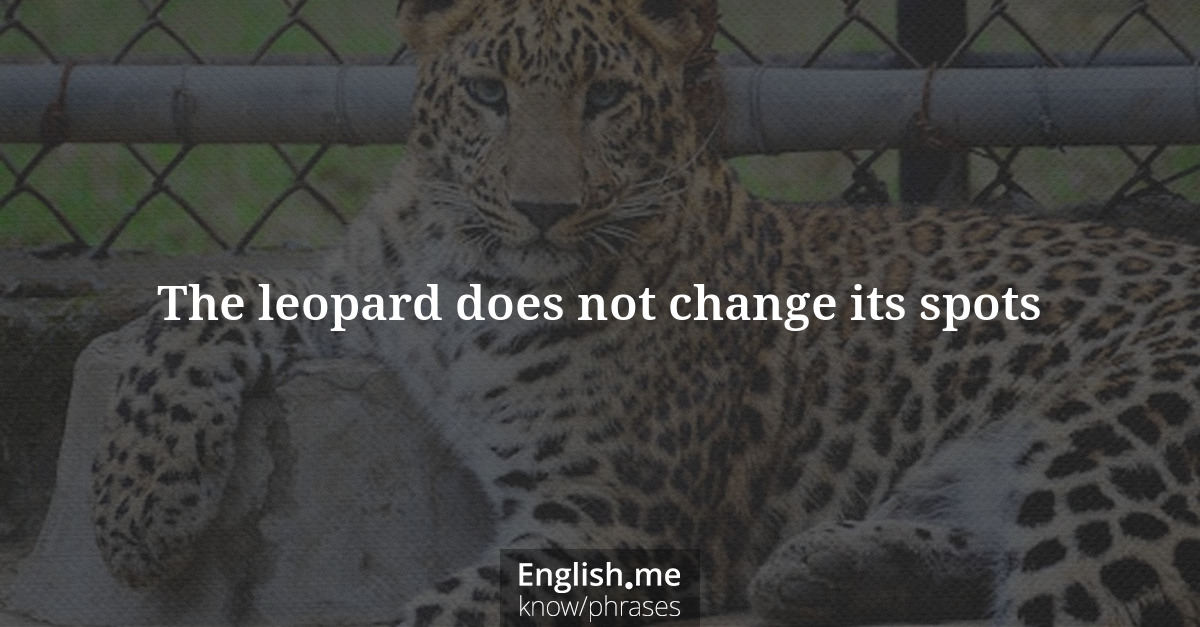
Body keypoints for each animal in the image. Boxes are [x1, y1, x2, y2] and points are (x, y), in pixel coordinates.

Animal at [88, 0, 1200, 625]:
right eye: (487, 93)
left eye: (606, 98)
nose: (542, 206)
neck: (476, 267)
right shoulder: (366, 284)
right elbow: (206, 302)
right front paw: (137, 510)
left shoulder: (608, 528)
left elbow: (436, 617)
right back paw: (837, 567)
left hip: (1109, 443)